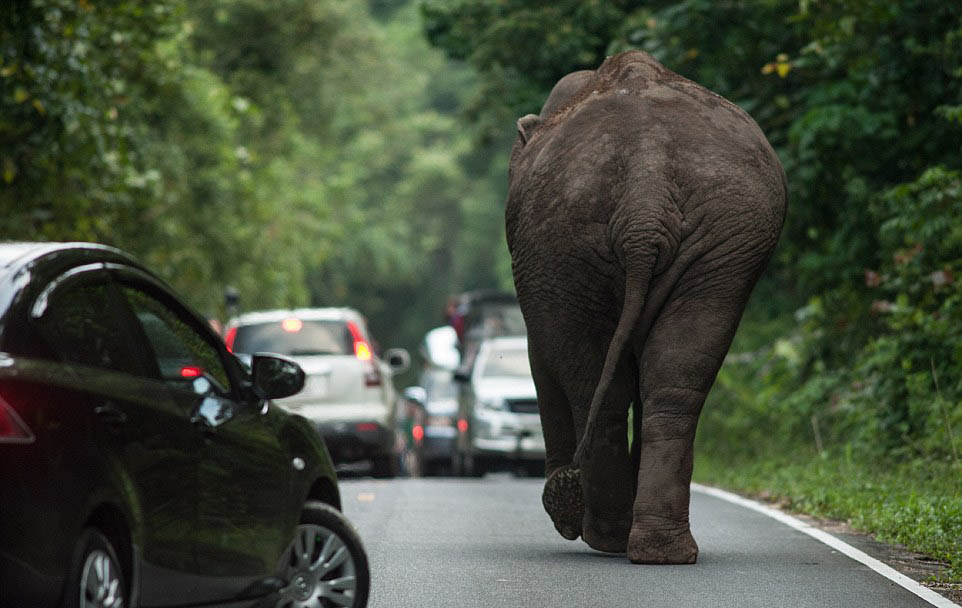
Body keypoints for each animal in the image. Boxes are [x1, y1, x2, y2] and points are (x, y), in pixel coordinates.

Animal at [505, 50, 786, 564]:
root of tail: (645, 199)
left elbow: (542, 360)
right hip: (721, 247)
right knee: (675, 382)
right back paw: (659, 551)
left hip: (565, 244)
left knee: (599, 385)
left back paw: (610, 537)